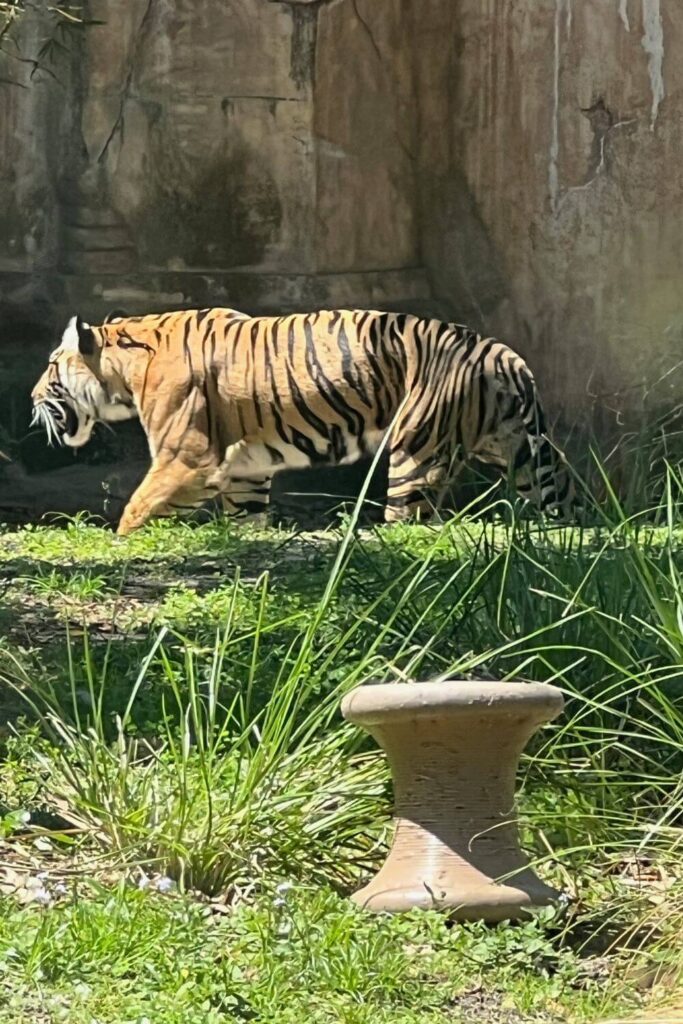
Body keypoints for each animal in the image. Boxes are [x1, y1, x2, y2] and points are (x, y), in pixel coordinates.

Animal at [30, 305, 577, 536]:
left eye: (52, 365)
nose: (32, 398)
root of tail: (505, 356)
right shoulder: (244, 470)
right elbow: (245, 516)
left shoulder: (186, 458)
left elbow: (137, 509)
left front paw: (122, 542)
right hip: (522, 452)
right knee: (563, 497)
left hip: (417, 452)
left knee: (413, 518)